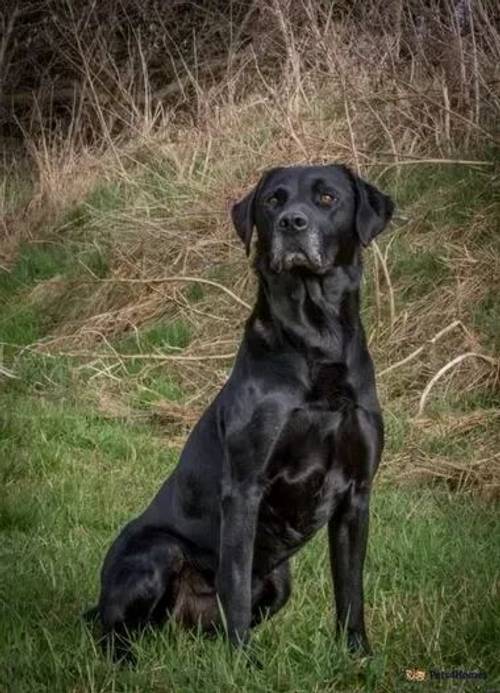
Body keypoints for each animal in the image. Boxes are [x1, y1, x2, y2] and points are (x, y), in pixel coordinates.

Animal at [90, 161, 394, 660]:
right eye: (273, 200)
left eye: (327, 198)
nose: (292, 223)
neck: (317, 341)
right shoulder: (244, 488)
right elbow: (233, 584)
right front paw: (244, 663)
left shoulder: (356, 494)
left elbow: (351, 588)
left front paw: (358, 655)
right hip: (156, 554)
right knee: (113, 630)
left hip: (279, 581)